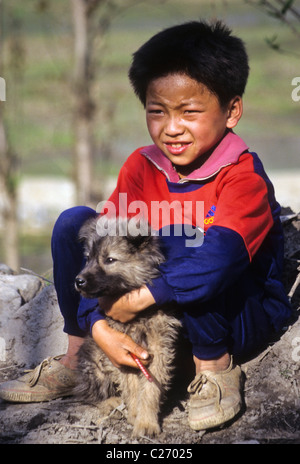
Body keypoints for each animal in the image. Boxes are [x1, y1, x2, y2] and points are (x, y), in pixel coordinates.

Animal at [73, 216, 180, 436]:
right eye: (88, 258)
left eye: (110, 260)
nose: (78, 281)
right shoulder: (119, 348)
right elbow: (131, 386)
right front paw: (135, 414)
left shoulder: (159, 346)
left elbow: (150, 387)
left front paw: (146, 421)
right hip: (95, 365)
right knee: (90, 394)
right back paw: (112, 403)